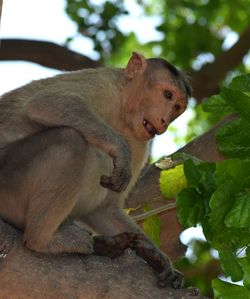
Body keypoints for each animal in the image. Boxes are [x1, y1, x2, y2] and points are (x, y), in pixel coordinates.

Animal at [0, 51, 190, 288]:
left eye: (177, 108)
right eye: (167, 95)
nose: (164, 121)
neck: (122, 114)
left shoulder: (140, 145)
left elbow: (105, 208)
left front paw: (155, 255)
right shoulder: (102, 84)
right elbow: (46, 104)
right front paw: (120, 148)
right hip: (7, 180)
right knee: (70, 140)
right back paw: (42, 240)